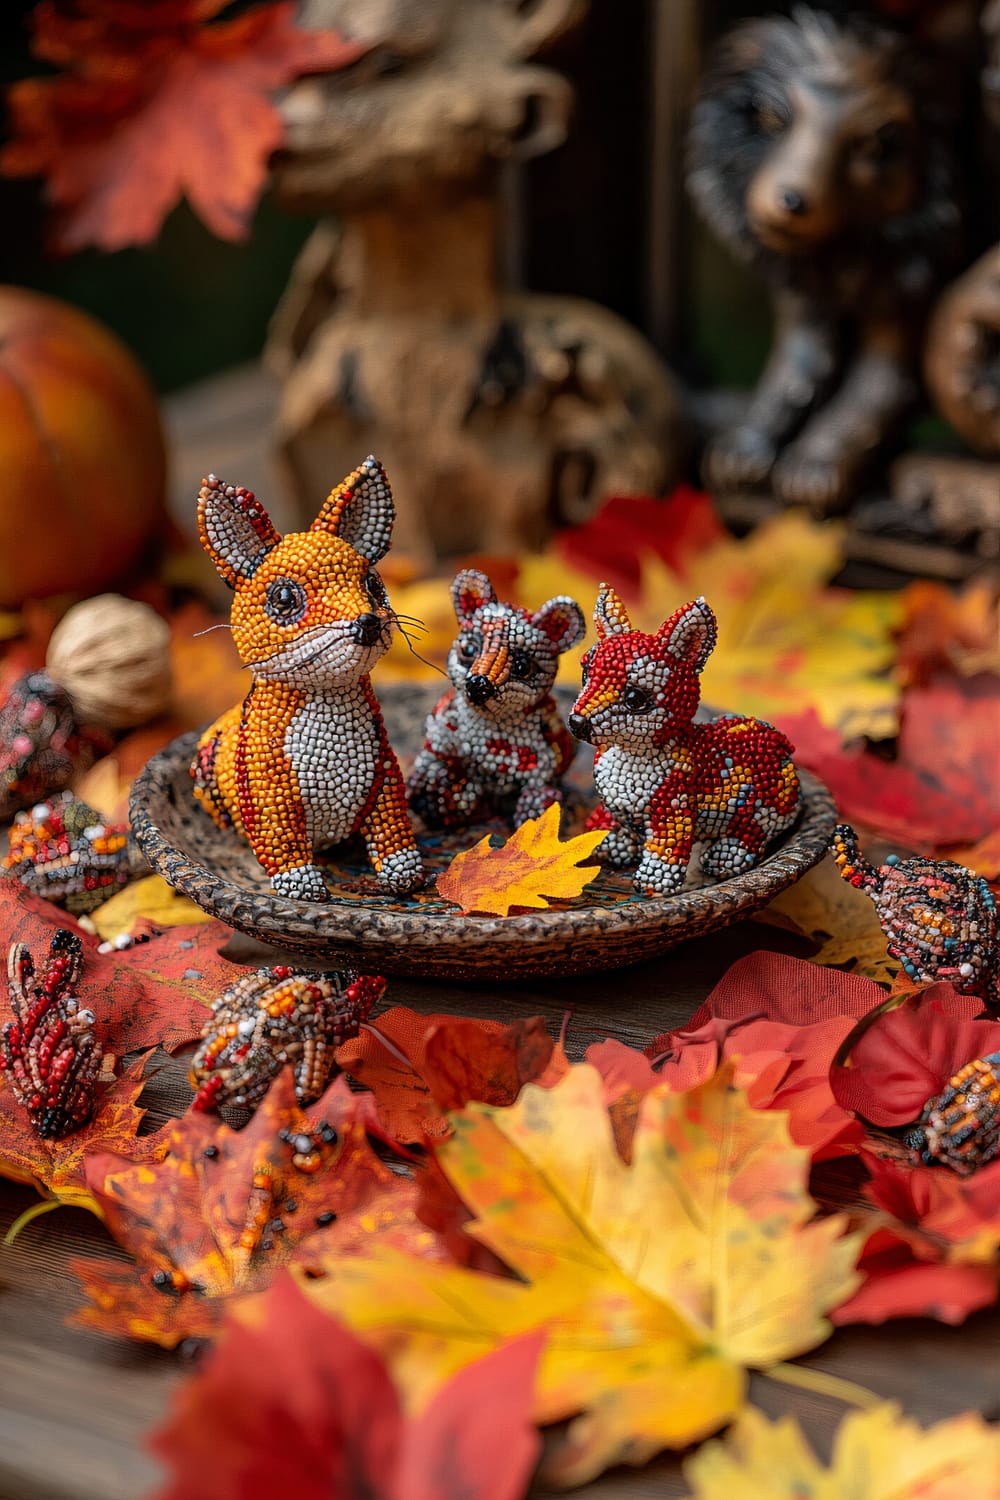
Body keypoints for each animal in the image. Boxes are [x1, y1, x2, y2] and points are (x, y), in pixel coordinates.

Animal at [191, 456, 422, 900]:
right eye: (284, 598)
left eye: (373, 584)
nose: (367, 623)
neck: (327, 698)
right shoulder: (267, 787)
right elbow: (281, 838)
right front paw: (302, 886)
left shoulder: (383, 772)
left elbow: (392, 827)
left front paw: (404, 874)